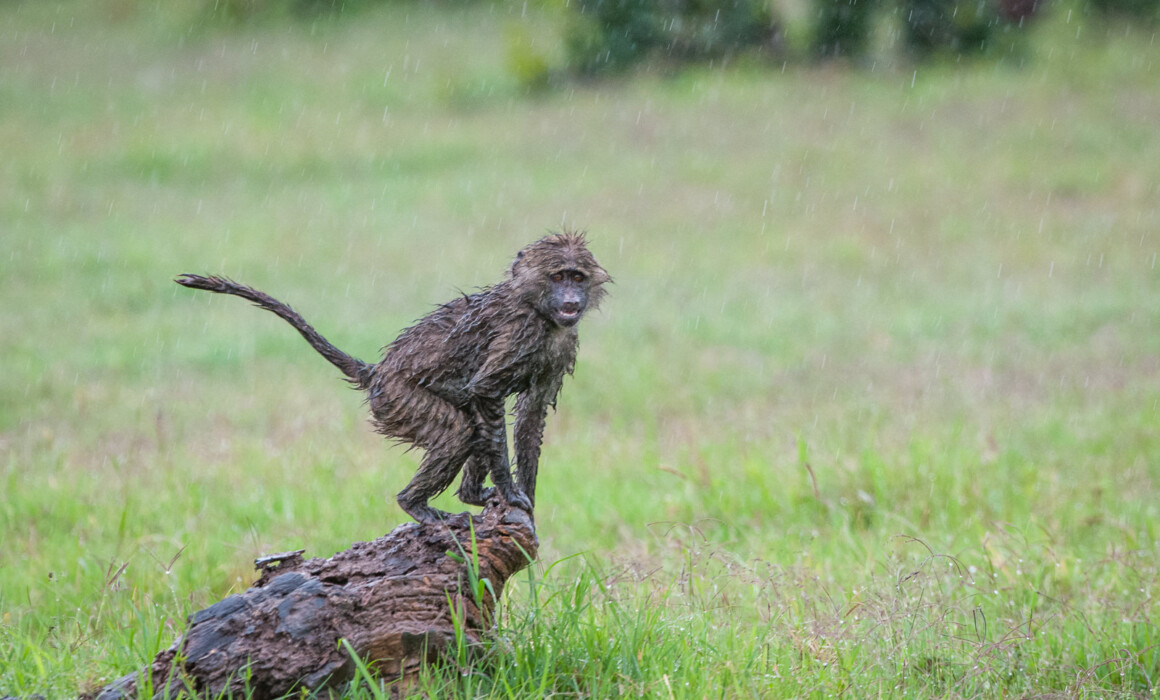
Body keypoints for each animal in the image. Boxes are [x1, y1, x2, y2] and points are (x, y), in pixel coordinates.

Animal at [176, 231, 610, 524]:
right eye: (558, 277)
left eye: (577, 277)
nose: (571, 301)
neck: (540, 311)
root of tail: (376, 372)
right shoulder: (519, 333)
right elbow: (486, 391)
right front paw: (509, 488)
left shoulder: (561, 344)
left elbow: (532, 414)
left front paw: (528, 494)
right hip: (398, 400)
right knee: (460, 431)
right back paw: (415, 504)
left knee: (472, 427)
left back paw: (469, 496)